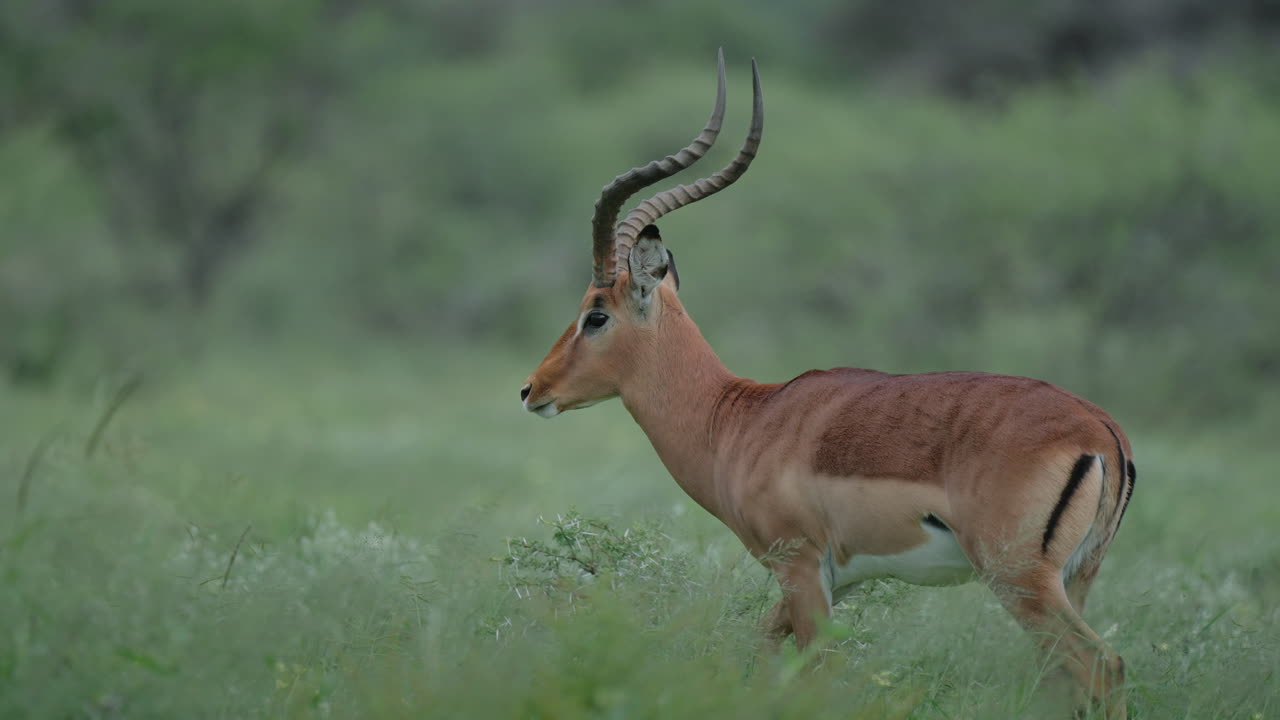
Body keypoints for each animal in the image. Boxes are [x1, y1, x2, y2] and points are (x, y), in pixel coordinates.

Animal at [520, 51, 1134, 719]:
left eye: (595, 314)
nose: (532, 389)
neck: (738, 420)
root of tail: (1101, 432)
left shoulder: (799, 566)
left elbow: (818, 671)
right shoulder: (840, 580)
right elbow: (761, 649)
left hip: (1019, 580)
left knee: (1102, 665)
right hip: (1074, 578)